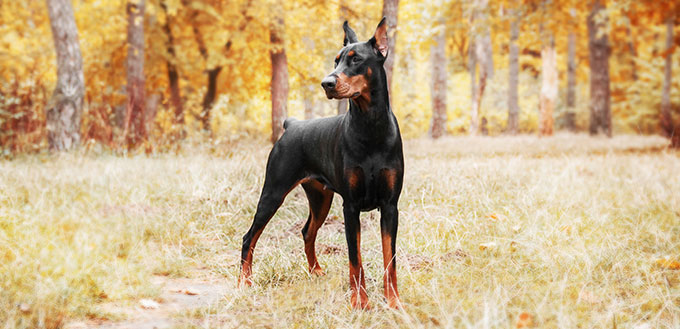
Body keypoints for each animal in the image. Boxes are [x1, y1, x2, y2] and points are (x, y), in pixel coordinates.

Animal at [238, 18, 402, 308]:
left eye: (356, 59)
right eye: (336, 60)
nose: (326, 83)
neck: (371, 126)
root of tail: (292, 125)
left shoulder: (390, 205)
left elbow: (389, 259)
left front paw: (393, 302)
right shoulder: (351, 206)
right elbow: (355, 259)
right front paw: (359, 301)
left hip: (320, 198)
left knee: (307, 231)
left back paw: (315, 271)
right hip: (273, 192)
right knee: (249, 237)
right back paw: (244, 281)